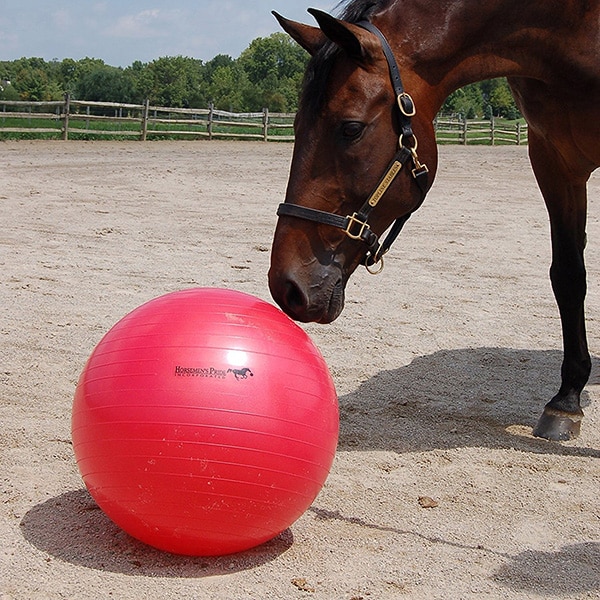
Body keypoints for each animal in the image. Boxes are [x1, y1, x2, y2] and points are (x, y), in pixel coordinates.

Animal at [270, 0, 596, 440]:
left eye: (351, 128)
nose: (286, 286)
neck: (572, 30)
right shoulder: (554, 160)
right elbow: (568, 276)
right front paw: (566, 400)